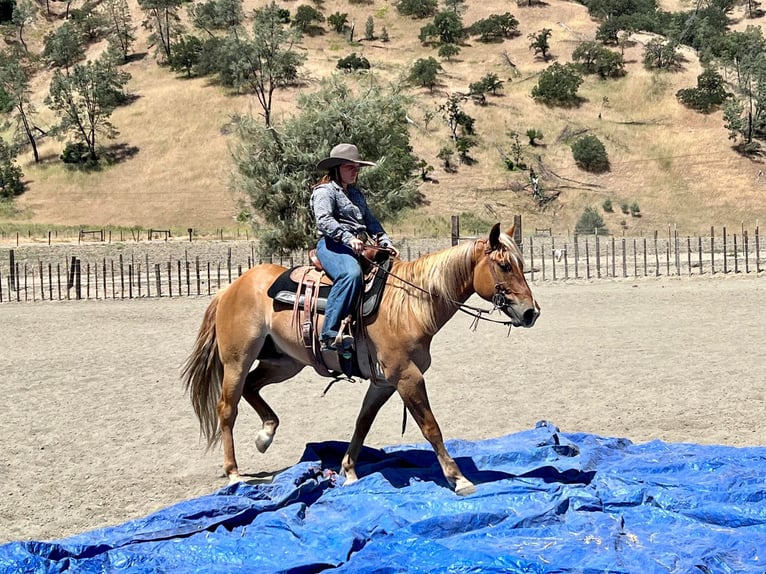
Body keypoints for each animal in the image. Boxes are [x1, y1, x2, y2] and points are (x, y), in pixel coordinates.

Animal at [182, 223, 540, 498]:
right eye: (505, 265)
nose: (531, 312)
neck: (411, 305)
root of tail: (230, 288)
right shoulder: (407, 377)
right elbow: (431, 427)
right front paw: (459, 478)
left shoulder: (384, 383)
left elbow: (362, 424)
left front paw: (348, 470)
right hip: (237, 360)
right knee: (227, 408)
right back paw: (233, 472)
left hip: (285, 361)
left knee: (252, 388)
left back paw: (265, 435)